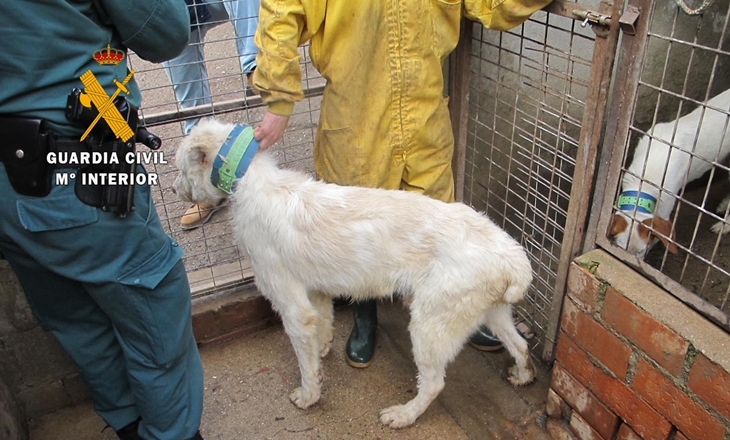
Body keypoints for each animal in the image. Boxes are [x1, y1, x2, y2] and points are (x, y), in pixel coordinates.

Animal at [173, 118, 532, 428]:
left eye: (180, 169)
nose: (175, 190)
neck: (252, 184)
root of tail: (512, 257)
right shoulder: (316, 291)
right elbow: (323, 325)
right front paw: (321, 351)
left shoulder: (291, 304)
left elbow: (305, 363)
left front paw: (309, 395)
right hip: (493, 312)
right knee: (521, 345)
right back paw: (523, 375)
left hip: (431, 326)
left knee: (433, 384)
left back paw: (403, 415)